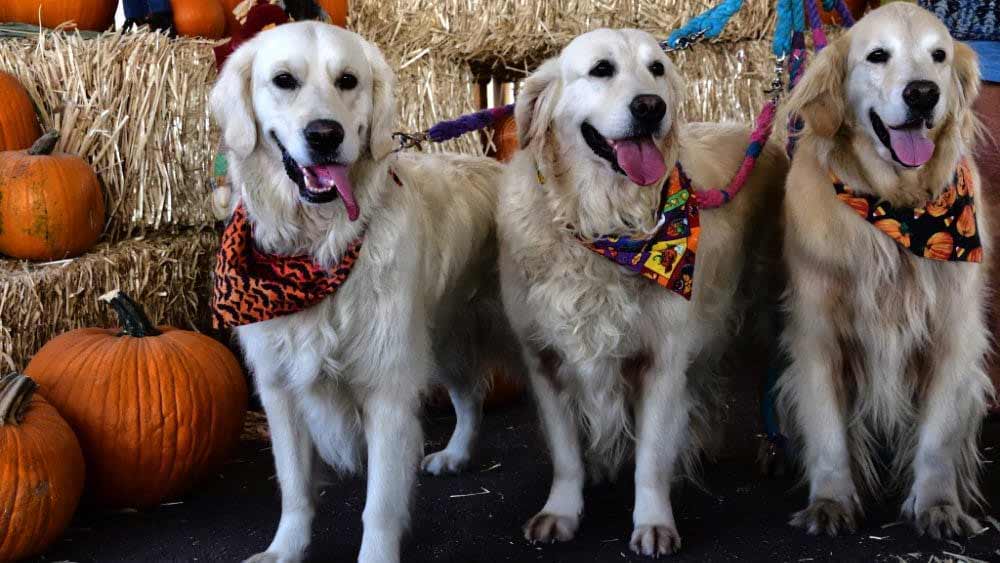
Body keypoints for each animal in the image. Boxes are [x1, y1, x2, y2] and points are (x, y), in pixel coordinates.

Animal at [207, 22, 512, 563]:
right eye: (283, 80)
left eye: (347, 80)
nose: (325, 134)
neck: (317, 251)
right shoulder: (279, 390)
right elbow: (294, 487)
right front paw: (285, 549)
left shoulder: (387, 389)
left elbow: (380, 506)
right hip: (446, 340)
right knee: (471, 397)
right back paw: (455, 454)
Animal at [500, 28, 788, 556]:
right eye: (601, 69)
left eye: (657, 68)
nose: (652, 107)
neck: (603, 228)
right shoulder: (544, 360)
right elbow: (566, 456)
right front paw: (560, 512)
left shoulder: (662, 359)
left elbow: (651, 458)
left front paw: (653, 522)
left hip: (764, 313)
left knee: (774, 377)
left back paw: (776, 446)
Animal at [776, 3, 988, 540]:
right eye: (877, 56)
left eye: (938, 55)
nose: (923, 93)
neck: (899, 212)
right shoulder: (817, 334)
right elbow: (828, 432)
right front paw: (830, 502)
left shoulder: (954, 334)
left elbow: (937, 439)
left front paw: (938, 506)